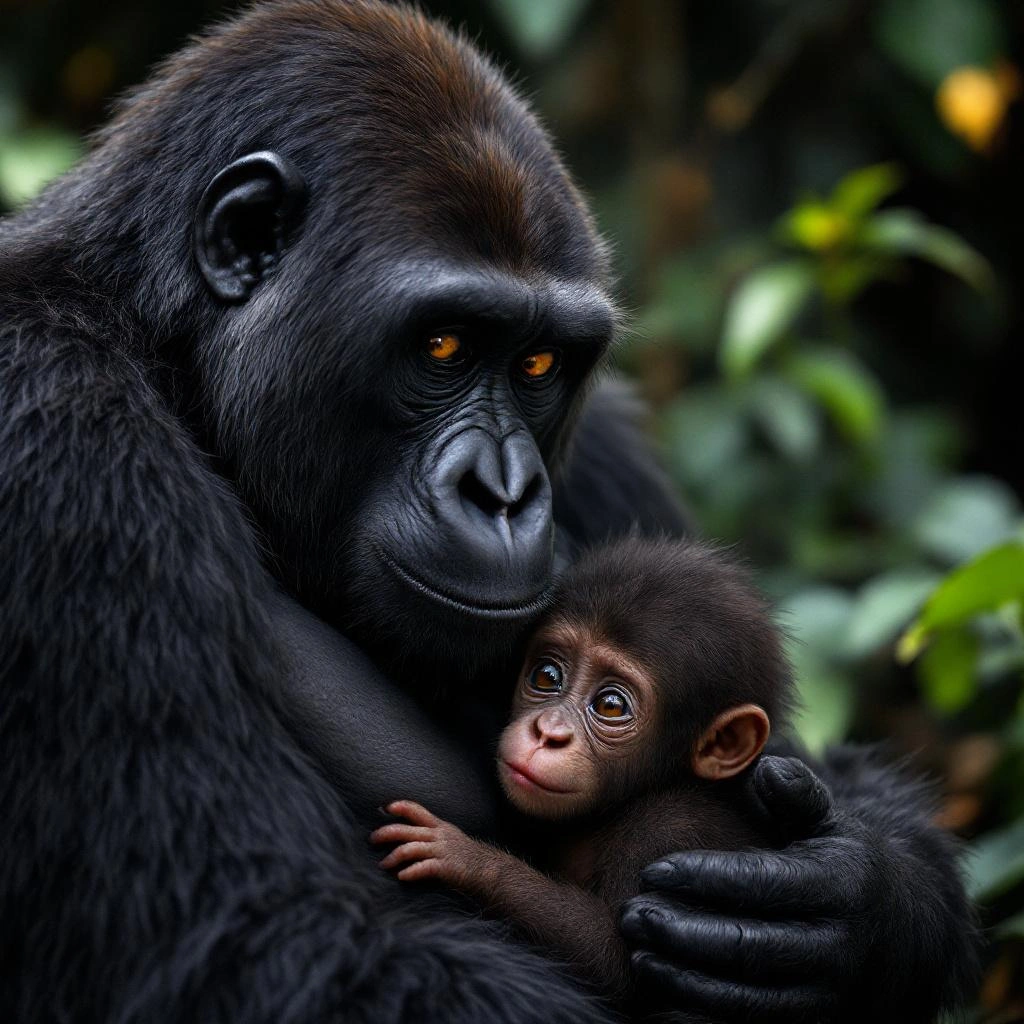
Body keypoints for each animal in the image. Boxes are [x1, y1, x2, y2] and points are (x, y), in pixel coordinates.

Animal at [370, 536, 795, 1004]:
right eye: (546, 675)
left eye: (610, 705)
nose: (548, 732)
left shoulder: (671, 828)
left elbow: (619, 963)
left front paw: (463, 855)